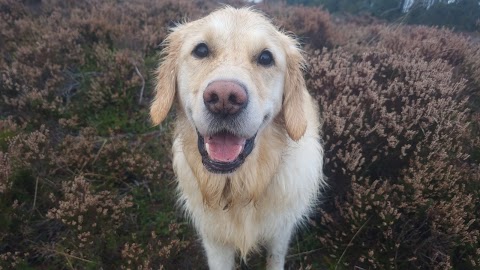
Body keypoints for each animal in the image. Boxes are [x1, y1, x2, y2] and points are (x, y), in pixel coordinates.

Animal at [149, 6, 326, 270]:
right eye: (201, 50)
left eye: (266, 58)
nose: (224, 98)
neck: (238, 187)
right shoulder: (214, 239)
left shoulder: (280, 231)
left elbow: (275, 258)